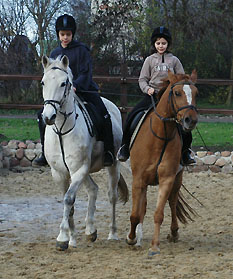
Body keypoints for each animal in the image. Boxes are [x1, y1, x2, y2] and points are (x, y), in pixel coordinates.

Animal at [41, 55, 128, 252]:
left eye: (64, 83)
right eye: (43, 82)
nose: (48, 117)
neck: (61, 131)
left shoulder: (78, 170)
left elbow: (68, 199)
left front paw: (62, 238)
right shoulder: (60, 174)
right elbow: (69, 203)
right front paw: (70, 238)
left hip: (112, 165)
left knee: (112, 196)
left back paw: (112, 233)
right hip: (85, 171)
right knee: (93, 189)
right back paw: (90, 230)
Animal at [125, 69, 198, 256]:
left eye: (196, 93)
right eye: (177, 93)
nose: (191, 120)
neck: (160, 136)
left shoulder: (167, 179)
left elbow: (159, 213)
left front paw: (154, 246)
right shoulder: (138, 180)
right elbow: (135, 214)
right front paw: (131, 238)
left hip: (177, 178)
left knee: (172, 202)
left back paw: (174, 232)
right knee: (142, 208)